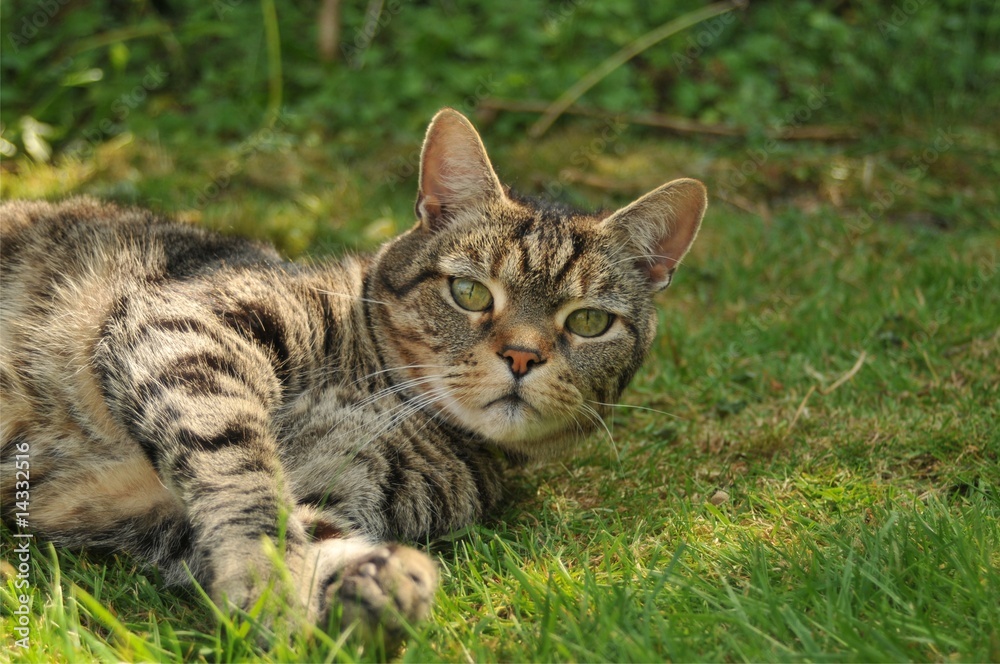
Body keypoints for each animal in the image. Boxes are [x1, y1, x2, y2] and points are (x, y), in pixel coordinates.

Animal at [0, 109, 708, 644]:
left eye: (588, 322)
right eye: (470, 293)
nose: (522, 357)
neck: (380, 393)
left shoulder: (158, 505)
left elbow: (303, 526)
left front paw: (364, 583)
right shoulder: (188, 325)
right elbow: (243, 471)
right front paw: (269, 575)